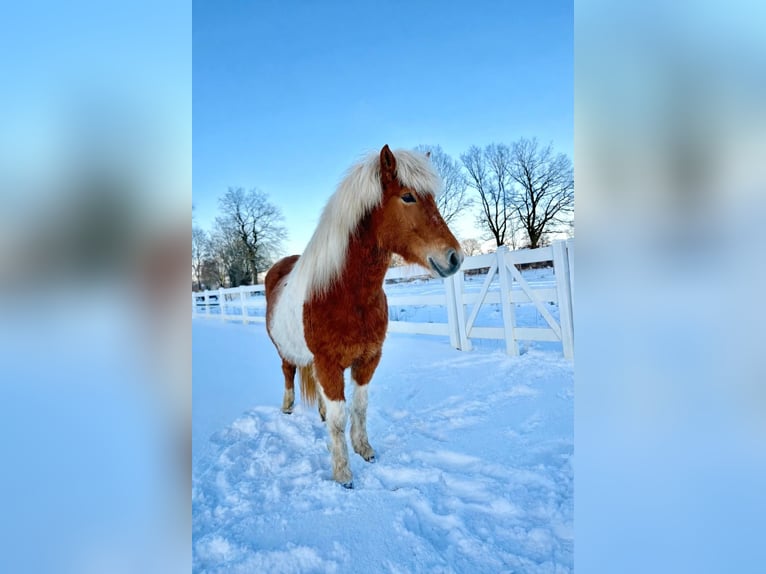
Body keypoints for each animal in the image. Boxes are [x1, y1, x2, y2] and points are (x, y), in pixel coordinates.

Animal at [264, 145, 464, 488]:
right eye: (408, 196)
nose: (455, 257)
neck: (344, 294)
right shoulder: (329, 364)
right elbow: (338, 418)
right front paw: (343, 474)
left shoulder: (368, 360)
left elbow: (359, 407)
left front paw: (364, 450)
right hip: (284, 350)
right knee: (288, 373)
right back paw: (287, 408)